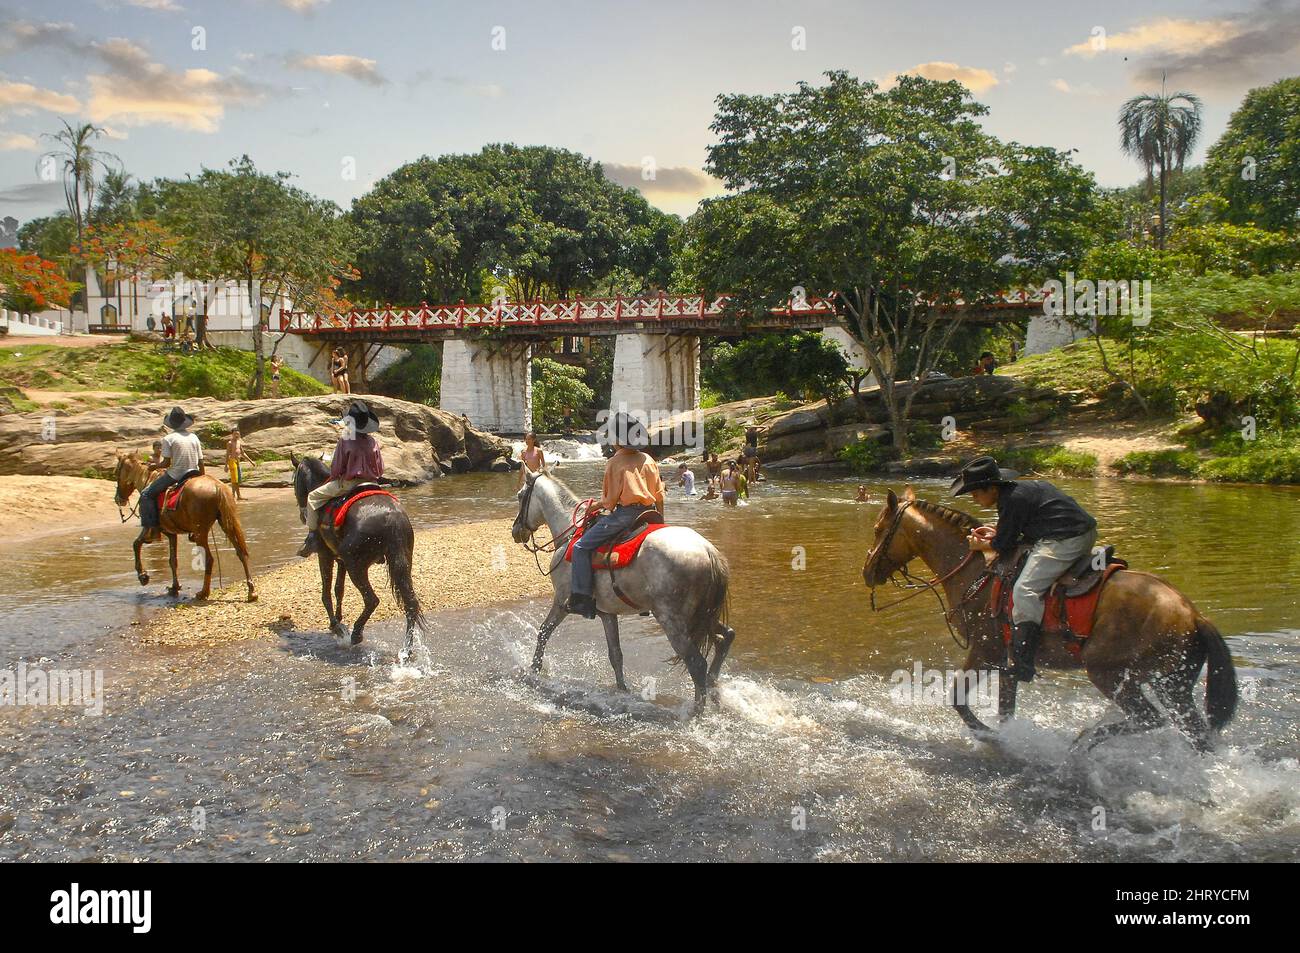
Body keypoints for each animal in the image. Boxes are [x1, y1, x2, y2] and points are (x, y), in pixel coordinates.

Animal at [114, 447, 256, 598]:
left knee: (209, 559)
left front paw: (143, 576)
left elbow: (136, 544)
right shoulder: (171, 534)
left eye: (116, 472)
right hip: (226, 524)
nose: (118, 499)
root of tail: (218, 487)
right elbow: (173, 561)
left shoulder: (149, 529)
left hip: (201, 533)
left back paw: (204, 592)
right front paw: (174, 587)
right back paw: (251, 591)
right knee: (241, 552)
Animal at [509, 468, 738, 712]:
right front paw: (622, 691)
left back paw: (695, 711)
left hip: (673, 621)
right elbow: (615, 655)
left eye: (520, 495)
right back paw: (715, 692)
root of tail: (708, 551)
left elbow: (543, 632)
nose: (516, 531)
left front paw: (533, 671)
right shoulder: (607, 613)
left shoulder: (562, 602)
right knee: (726, 638)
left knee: (696, 663)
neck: (570, 535)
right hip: (701, 616)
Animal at [863, 486, 1237, 748]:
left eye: (879, 528)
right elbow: (1005, 709)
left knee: (1150, 719)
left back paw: (1084, 742)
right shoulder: (1007, 664)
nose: (867, 572)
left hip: (1111, 675)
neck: (975, 569)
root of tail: (1193, 614)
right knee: (1193, 734)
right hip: (1174, 686)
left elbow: (959, 701)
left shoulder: (985, 653)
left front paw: (989, 735)